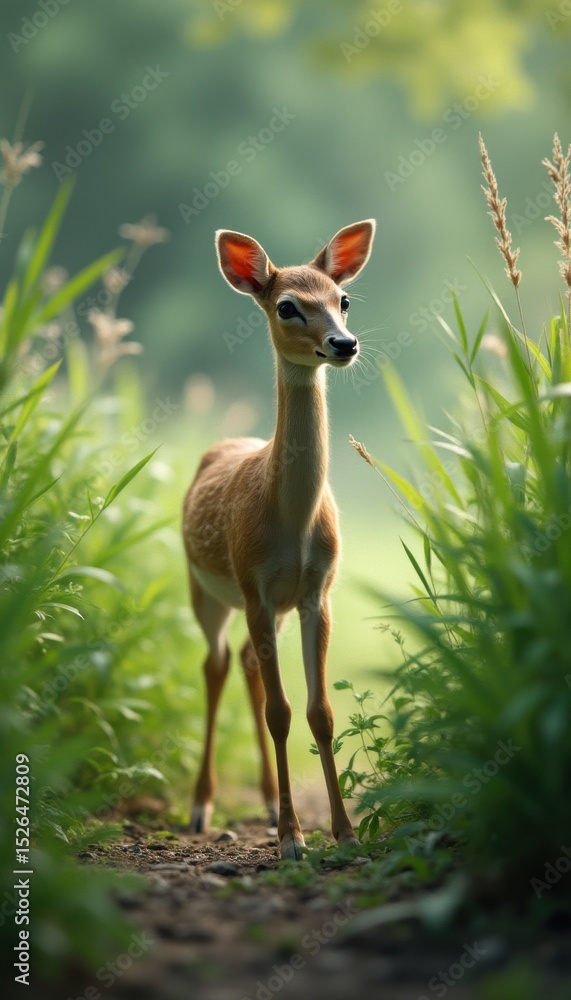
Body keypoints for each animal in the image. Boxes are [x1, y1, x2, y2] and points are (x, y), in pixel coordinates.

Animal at [182, 219, 376, 860]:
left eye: (343, 299)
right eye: (288, 306)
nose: (344, 343)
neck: (291, 525)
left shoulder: (316, 592)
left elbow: (319, 713)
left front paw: (344, 833)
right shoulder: (257, 586)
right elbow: (280, 712)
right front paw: (293, 839)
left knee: (242, 661)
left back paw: (267, 802)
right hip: (206, 589)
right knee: (214, 663)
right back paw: (201, 806)